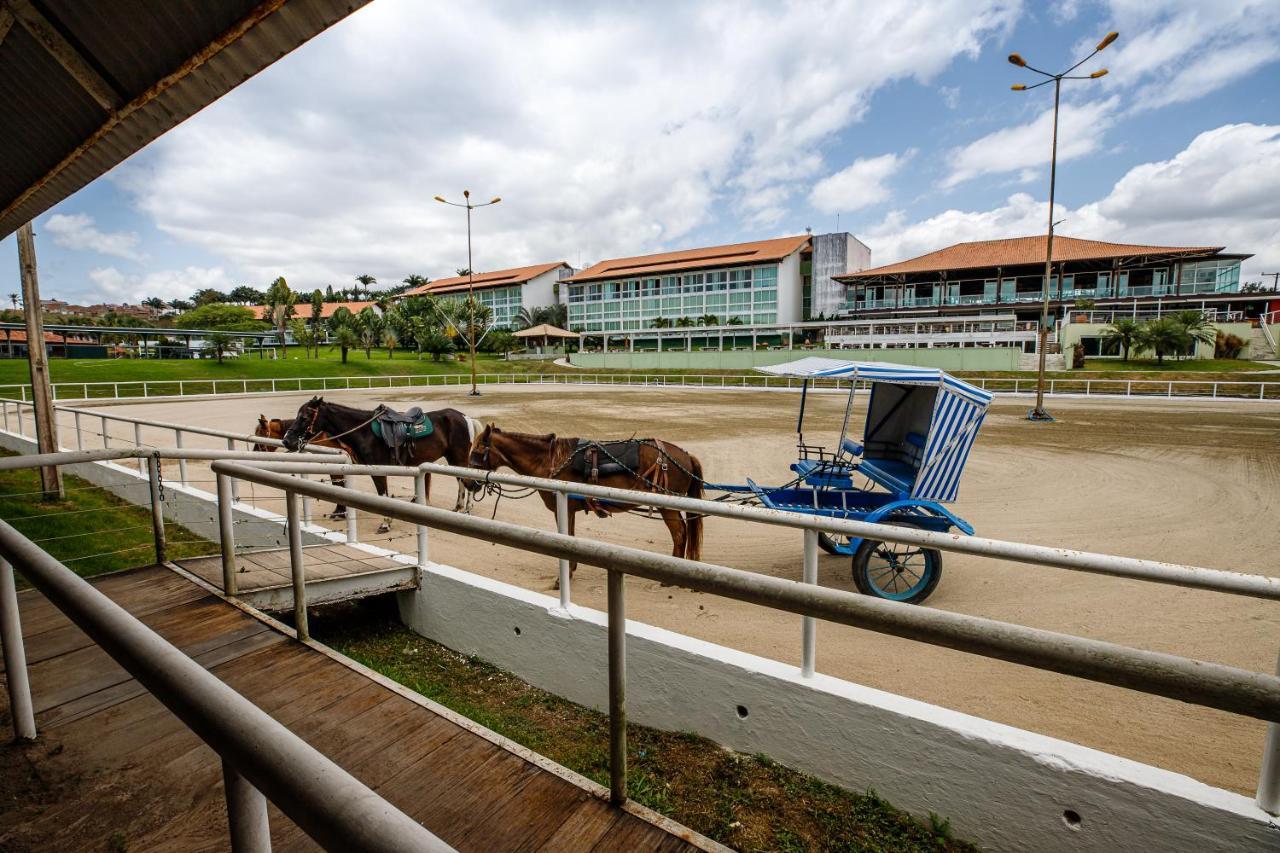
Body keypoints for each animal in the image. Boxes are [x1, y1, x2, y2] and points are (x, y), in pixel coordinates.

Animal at [471, 420, 706, 584]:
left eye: (477, 450)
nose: (469, 482)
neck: (550, 461)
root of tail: (686, 456)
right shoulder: (570, 509)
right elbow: (571, 537)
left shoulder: (563, 508)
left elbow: (566, 538)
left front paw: (563, 576)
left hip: (666, 507)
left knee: (679, 533)